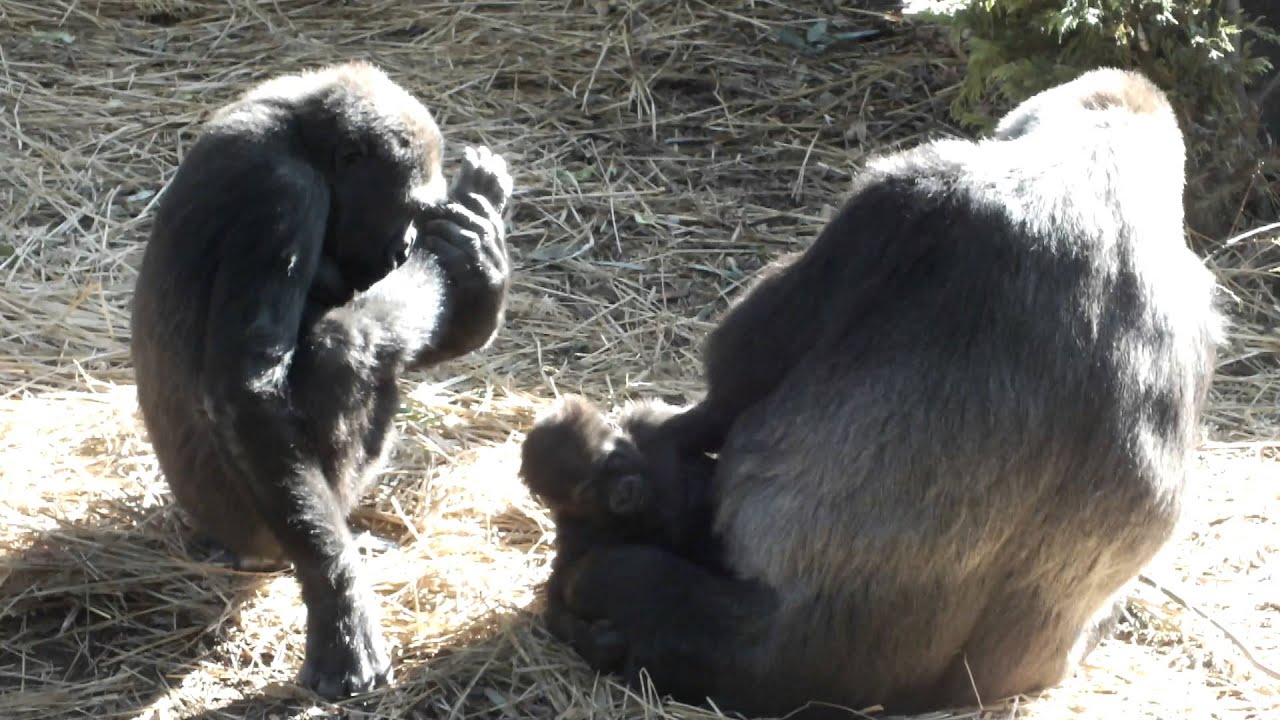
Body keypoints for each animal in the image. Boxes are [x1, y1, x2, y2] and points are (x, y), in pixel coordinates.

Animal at [129, 61, 514, 699]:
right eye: (404, 209)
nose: (407, 245)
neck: (301, 135)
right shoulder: (284, 197)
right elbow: (249, 392)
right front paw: (341, 613)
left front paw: (480, 262)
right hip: (251, 532)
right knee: (343, 348)